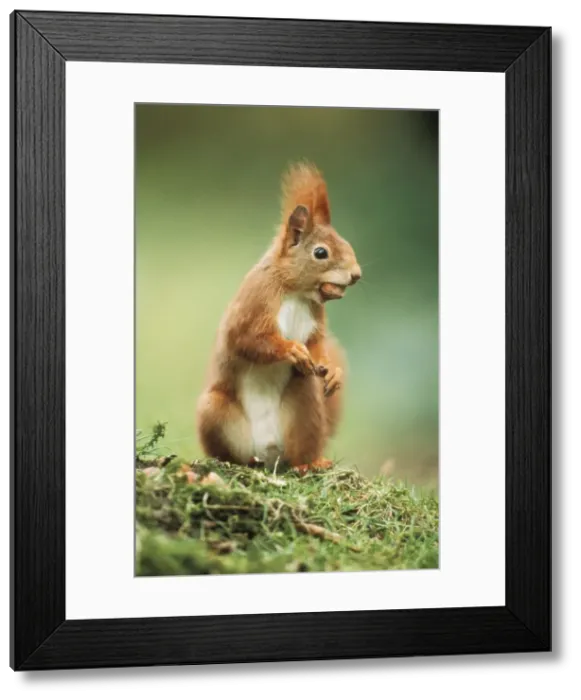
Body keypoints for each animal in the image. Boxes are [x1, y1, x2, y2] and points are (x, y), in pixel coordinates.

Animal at [196, 160, 361, 475]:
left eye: (347, 242)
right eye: (320, 252)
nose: (356, 275)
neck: (295, 292)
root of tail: (269, 455)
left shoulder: (316, 319)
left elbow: (317, 345)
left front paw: (333, 372)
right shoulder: (255, 302)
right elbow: (248, 339)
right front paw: (291, 349)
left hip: (303, 402)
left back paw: (310, 463)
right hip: (214, 411)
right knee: (230, 451)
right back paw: (237, 462)